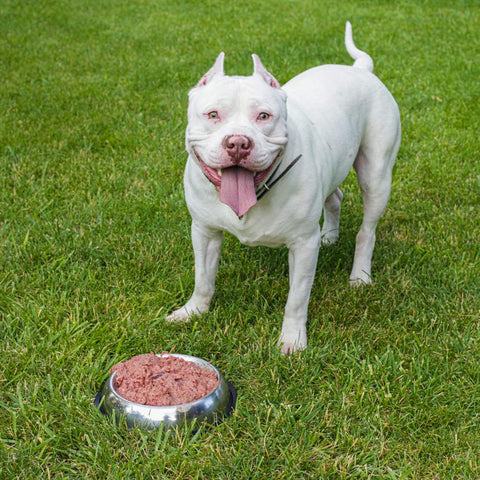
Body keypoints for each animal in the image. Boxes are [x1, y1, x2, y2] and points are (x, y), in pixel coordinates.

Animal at [167, 21, 400, 352]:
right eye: (213, 115)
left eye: (264, 116)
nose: (238, 143)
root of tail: (360, 69)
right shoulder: (204, 232)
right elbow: (203, 278)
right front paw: (193, 311)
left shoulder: (302, 245)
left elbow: (296, 299)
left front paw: (291, 340)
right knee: (335, 197)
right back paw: (329, 236)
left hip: (377, 176)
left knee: (367, 230)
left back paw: (360, 275)